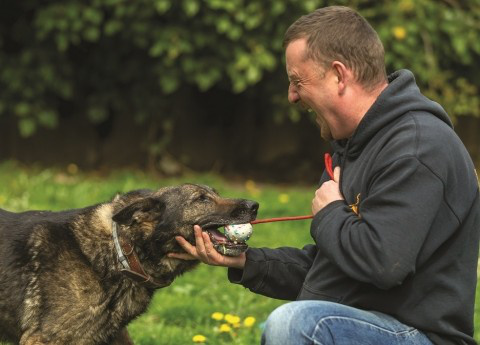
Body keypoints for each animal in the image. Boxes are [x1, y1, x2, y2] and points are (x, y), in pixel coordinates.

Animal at [0, 184, 258, 342]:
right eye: (202, 199)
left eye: (216, 193)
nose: (254, 206)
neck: (119, 252)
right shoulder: (45, 338)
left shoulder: (113, 335)